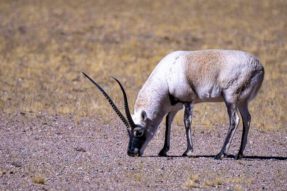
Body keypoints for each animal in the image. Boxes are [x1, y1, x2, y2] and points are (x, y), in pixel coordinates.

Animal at [83, 49, 266, 160]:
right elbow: (167, 124)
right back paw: (239, 153)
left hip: (230, 99)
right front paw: (164, 150)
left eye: (138, 132)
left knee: (235, 121)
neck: (167, 74)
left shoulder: (188, 101)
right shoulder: (174, 106)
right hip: (241, 102)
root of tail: (259, 66)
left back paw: (220, 154)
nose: (131, 152)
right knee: (247, 119)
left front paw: (187, 151)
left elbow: (187, 123)